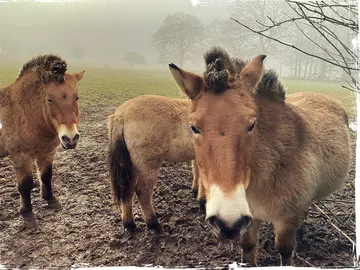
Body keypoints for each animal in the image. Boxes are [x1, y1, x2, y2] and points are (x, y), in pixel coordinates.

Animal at [0, 54, 86, 226]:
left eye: (77, 97)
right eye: (49, 99)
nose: (71, 138)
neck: (26, 114)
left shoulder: (47, 152)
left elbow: (46, 176)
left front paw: (51, 200)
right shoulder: (21, 156)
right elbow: (25, 184)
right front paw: (27, 214)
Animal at [107, 95, 204, 234]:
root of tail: (121, 115)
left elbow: (197, 172)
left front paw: (196, 193)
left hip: (131, 166)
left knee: (128, 189)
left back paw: (129, 224)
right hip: (149, 166)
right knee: (142, 191)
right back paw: (154, 224)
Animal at [169, 46, 352, 266]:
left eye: (252, 124)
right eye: (194, 127)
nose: (227, 221)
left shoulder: (286, 221)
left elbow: (285, 250)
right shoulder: (250, 216)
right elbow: (248, 246)